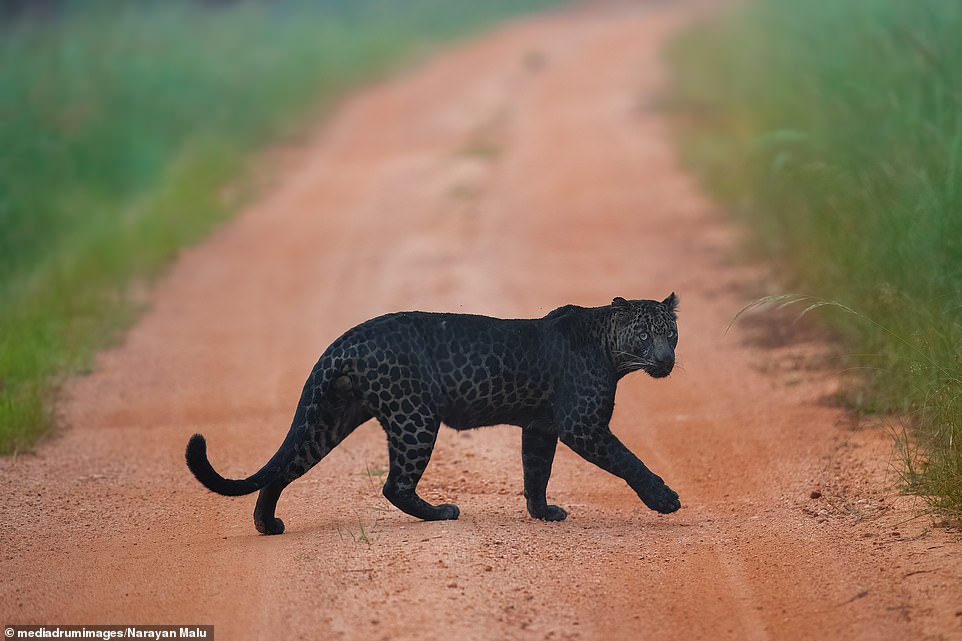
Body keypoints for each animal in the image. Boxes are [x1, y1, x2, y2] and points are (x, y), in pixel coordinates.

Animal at [188, 292, 680, 532]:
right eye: (644, 336)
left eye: (671, 334)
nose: (666, 359)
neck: (609, 347)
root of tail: (347, 338)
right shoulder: (583, 425)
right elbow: (628, 461)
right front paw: (664, 500)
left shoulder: (539, 427)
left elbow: (535, 472)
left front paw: (542, 513)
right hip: (414, 418)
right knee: (394, 484)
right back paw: (442, 513)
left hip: (332, 417)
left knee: (285, 467)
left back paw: (266, 524)